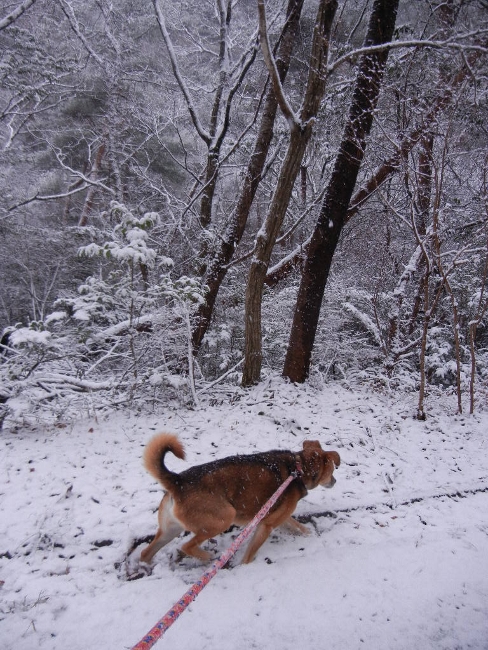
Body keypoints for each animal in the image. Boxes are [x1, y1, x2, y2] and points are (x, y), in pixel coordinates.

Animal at [140, 432, 340, 564]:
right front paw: (244, 566)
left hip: (169, 530)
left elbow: (299, 527)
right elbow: (250, 553)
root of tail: (177, 480)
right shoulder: (266, 525)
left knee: (146, 553)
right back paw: (209, 557)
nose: (335, 481)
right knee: (186, 547)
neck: (298, 469)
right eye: (332, 470)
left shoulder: (277, 517)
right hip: (224, 518)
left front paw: (311, 534)